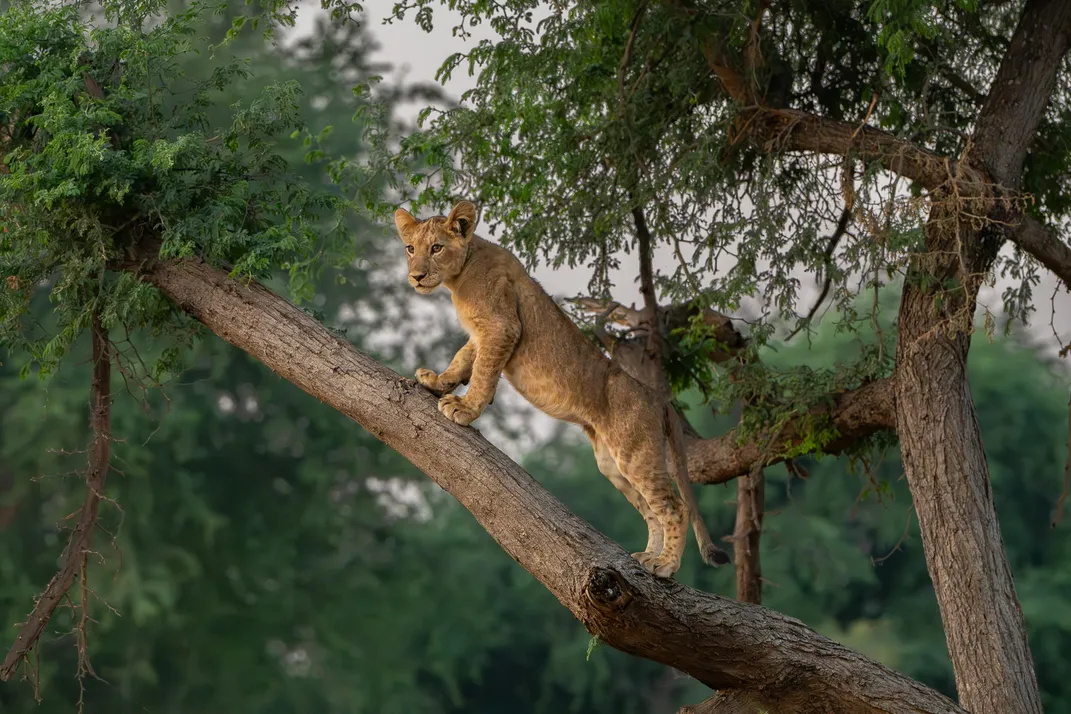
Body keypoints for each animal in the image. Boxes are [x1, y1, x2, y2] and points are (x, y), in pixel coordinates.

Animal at [393, 200, 729, 577]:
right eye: (411, 248)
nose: (416, 276)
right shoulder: (482, 333)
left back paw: (665, 565)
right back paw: (647, 557)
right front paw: (437, 381)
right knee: (650, 510)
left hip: (636, 453)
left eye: (436, 248)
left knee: (674, 506)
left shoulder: (501, 326)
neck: (460, 273)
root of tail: (656, 397)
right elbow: (464, 358)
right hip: (612, 463)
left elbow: (483, 371)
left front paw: (465, 409)